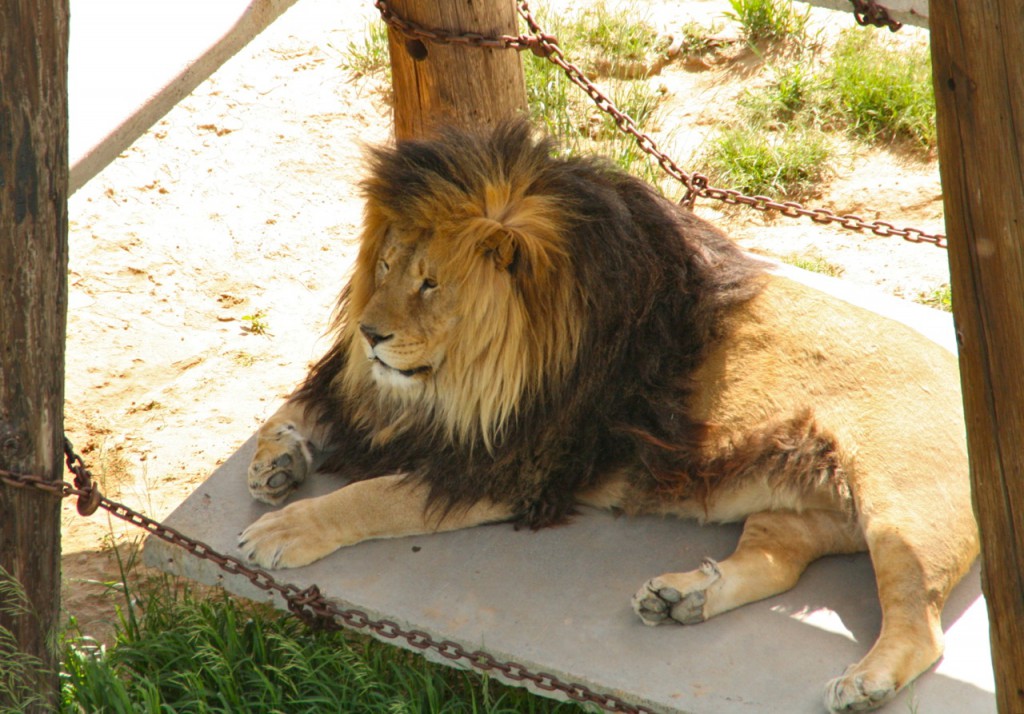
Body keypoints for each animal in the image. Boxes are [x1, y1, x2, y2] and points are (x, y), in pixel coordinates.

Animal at [237, 119, 974, 708]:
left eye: (430, 284)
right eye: (386, 267)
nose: (369, 333)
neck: (465, 380)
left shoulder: (518, 466)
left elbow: (372, 498)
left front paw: (287, 528)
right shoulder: (383, 401)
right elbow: (302, 405)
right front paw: (277, 458)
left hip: (900, 511)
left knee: (921, 626)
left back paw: (865, 682)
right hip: (793, 509)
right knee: (778, 560)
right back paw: (683, 599)